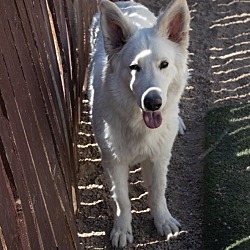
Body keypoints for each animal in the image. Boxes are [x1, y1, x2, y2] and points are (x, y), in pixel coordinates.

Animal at [89, 0, 190, 246]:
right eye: (134, 67)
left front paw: (163, 220)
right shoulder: (113, 162)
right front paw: (122, 229)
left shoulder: (160, 157)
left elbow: (158, 191)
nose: (153, 102)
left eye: (164, 64)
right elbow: (122, 201)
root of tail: (127, 4)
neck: (139, 126)